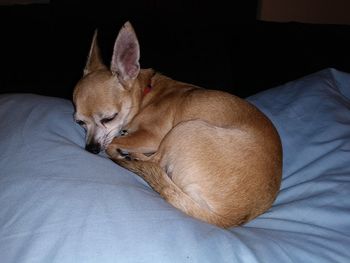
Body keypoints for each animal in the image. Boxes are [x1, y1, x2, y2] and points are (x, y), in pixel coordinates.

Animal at [73, 21, 282, 228]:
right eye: (80, 122)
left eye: (109, 118)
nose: (91, 149)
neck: (146, 96)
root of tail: (226, 218)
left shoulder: (151, 137)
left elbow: (113, 142)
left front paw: (120, 147)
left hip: (184, 129)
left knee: (155, 162)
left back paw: (132, 157)